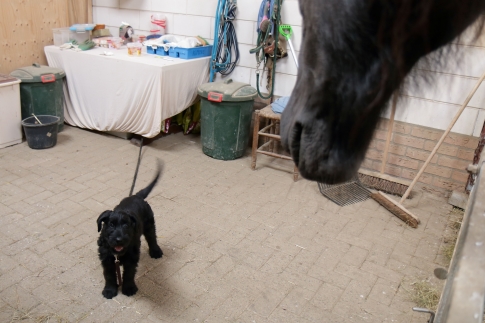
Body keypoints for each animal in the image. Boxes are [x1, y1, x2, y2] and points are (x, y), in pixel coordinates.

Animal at [96, 166, 163, 300]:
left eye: (126, 225)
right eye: (111, 225)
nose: (119, 239)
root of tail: (136, 196)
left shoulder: (131, 258)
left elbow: (129, 274)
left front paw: (129, 288)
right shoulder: (107, 259)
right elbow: (109, 275)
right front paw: (109, 290)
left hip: (149, 224)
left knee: (152, 237)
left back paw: (155, 251)